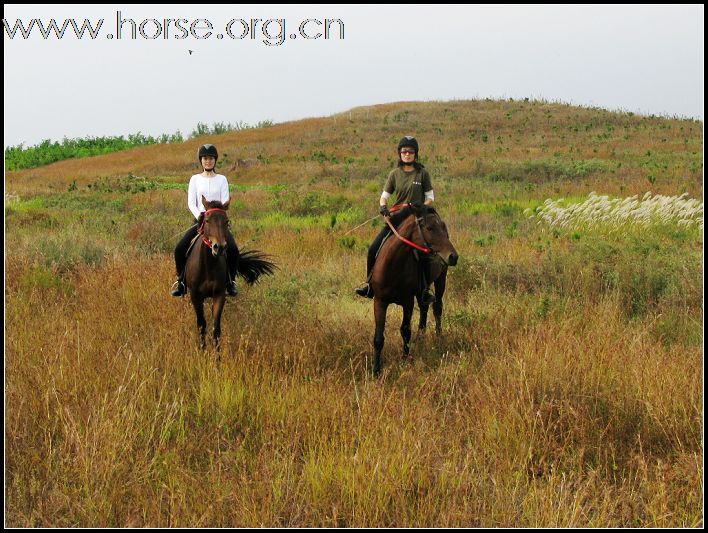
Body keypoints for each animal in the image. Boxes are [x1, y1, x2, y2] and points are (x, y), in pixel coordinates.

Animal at [184, 195, 276, 350]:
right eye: (207, 220)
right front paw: (202, 352)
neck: (208, 266)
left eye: (226, 221)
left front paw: (217, 356)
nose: (219, 247)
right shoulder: (195, 296)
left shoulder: (219, 294)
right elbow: (202, 325)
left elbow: (216, 329)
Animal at [368, 204, 462, 374]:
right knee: (424, 307)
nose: (454, 256)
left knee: (437, 307)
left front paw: (405, 360)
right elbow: (378, 337)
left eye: (442, 227)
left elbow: (405, 331)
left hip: (441, 278)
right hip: (421, 291)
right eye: (430, 228)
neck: (393, 267)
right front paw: (376, 370)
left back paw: (438, 337)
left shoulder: (407, 302)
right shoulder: (379, 301)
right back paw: (421, 338)